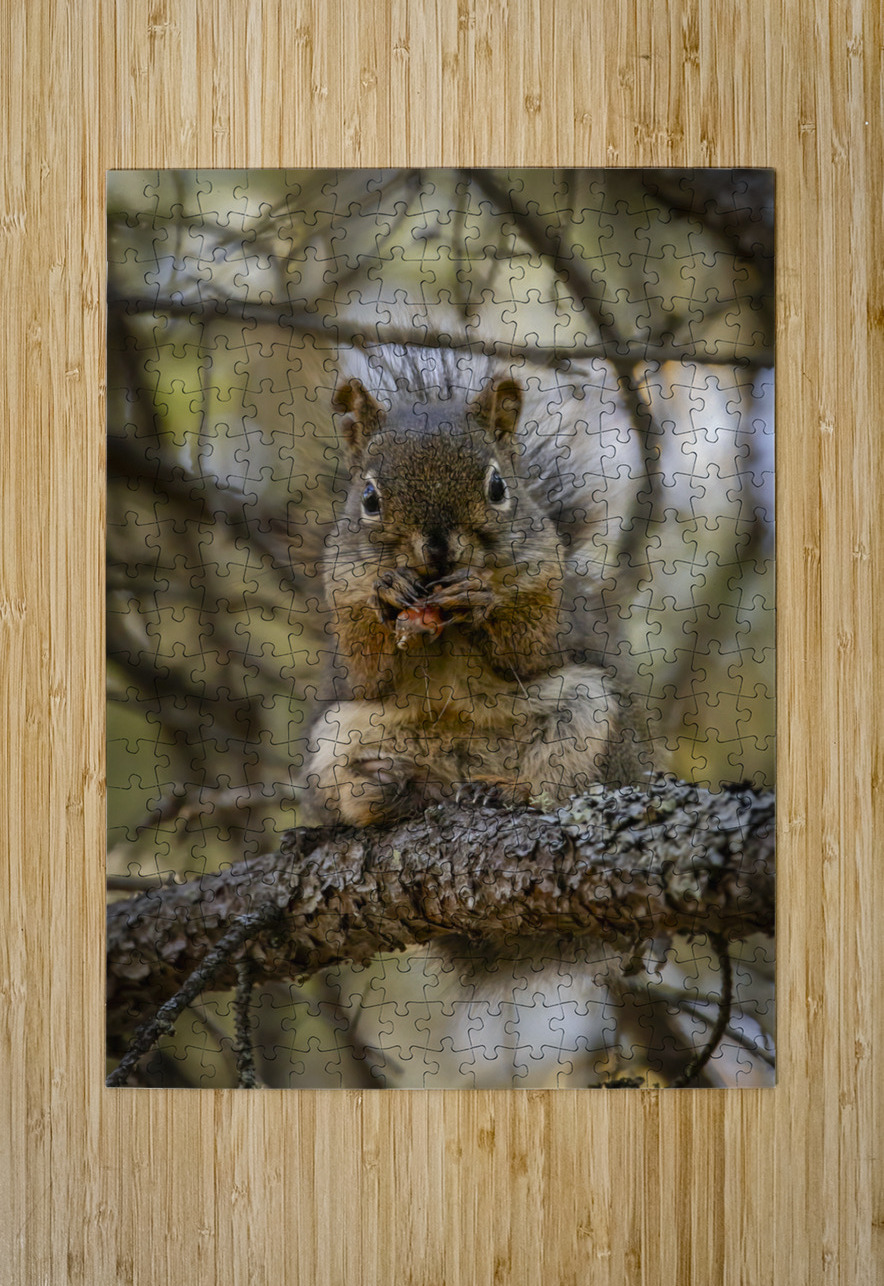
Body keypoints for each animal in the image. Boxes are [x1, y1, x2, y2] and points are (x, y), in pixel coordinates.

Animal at [297, 349, 650, 829]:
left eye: (497, 487)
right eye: (369, 497)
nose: (437, 549)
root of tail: (459, 775)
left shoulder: (547, 589)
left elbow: (528, 652)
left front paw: (479, 597)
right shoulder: (343, 592)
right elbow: (368, 673)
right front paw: (387, 590)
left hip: (590, 715)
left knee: (558, 782)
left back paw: (501, 789)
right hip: (334, 740)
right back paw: (398, 786)